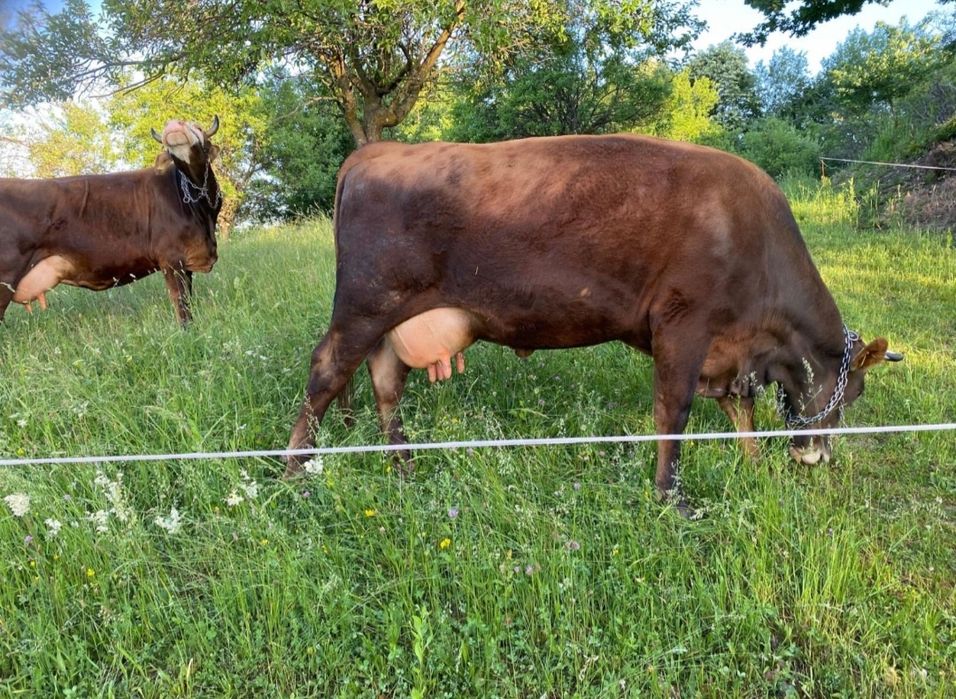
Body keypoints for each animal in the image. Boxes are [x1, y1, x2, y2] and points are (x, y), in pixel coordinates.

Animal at [0, 116, 222, 327]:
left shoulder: (186, 261)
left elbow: (188, 299)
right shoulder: (171, 258)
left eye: (199, 127)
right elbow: (181, 303)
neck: (202, 211)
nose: (173, 124)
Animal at [284, 135, 902, 513]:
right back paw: (294, 472)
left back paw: (403, 467)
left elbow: (741, 408)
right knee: (326, 371)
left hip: (391, 317)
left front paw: (751, 468)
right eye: (853, 393)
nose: (815, 456)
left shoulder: (728, 351)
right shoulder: (684, 323)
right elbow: (673, 412)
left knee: (386, 382)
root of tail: (375, 151)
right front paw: (671, 497)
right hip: (365, 304)